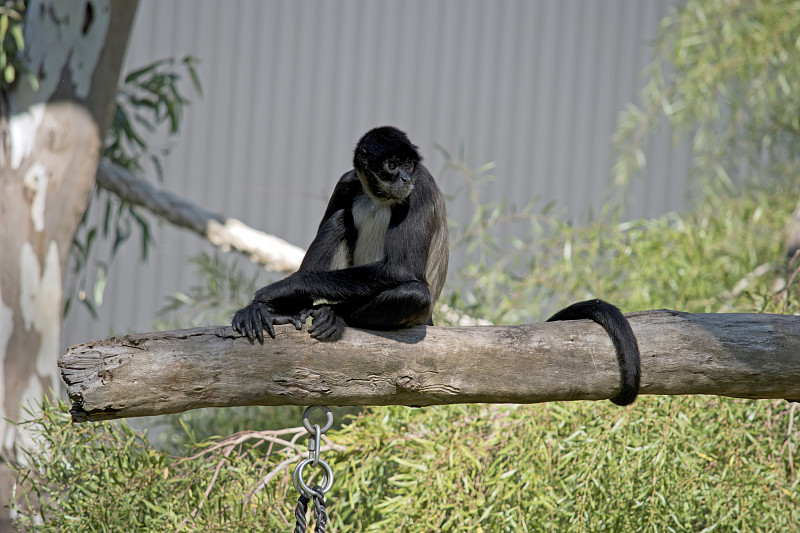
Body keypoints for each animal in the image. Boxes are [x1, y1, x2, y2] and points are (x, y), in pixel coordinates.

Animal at [231, 125, 450, 340]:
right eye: (392, 165)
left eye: (409, 165)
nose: (405, 178)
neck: (378, 197)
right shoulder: (346, 182)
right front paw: (265, 305)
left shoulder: (420, 187)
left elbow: (403, 268)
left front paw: (286, 286)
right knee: (339, 219)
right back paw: (283, 312)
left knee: (415, 294)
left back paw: (331, 314)